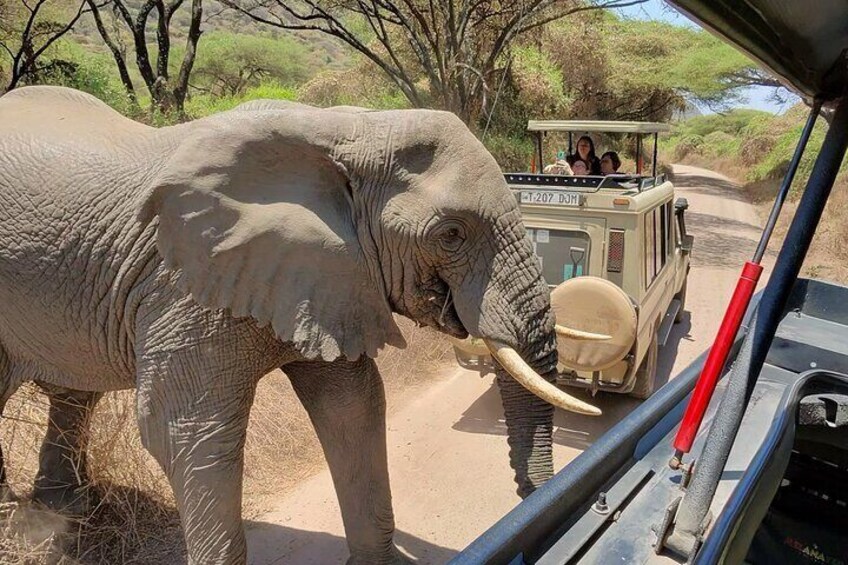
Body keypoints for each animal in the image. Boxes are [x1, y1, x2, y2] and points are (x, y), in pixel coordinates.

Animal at [0, 86, 596, 560]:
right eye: (451, 233)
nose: (537, 500)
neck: (351, 130)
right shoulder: (184, 287)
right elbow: (186, 432)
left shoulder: (329, 274)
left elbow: (353, 404)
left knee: (74, 391)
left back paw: (63, 510)